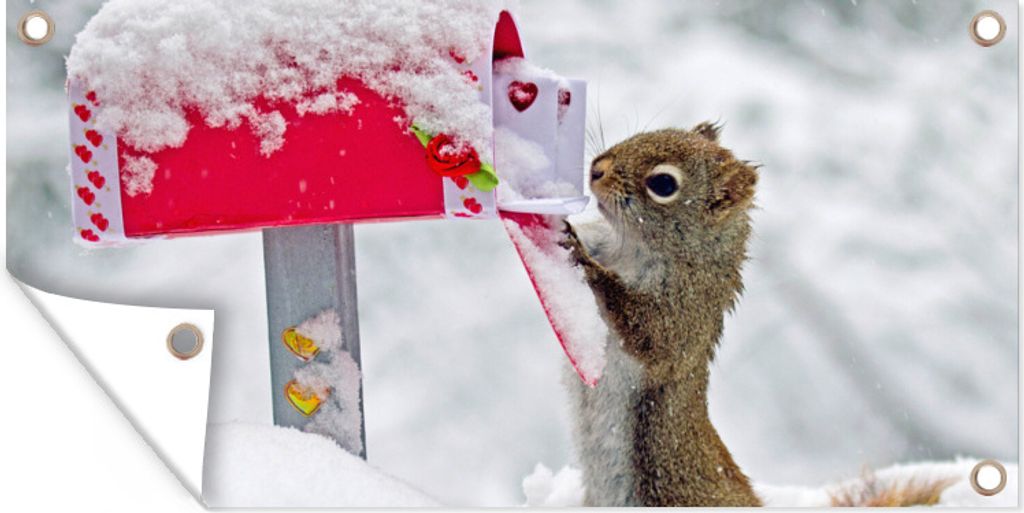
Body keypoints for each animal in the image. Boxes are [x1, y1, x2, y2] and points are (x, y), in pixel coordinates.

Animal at [561, 122, 761, 507]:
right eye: (647, 132)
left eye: (664, 184)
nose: (597, 169)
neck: (630, 248)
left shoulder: (683, 312)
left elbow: (647, 332)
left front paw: (588, 264)